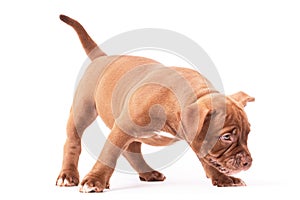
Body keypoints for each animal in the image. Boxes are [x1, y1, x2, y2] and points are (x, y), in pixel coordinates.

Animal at [55, 14, 253, 192]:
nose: (248, 162)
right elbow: (109, 154)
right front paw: (94, 180)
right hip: (82, 111)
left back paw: (148, 173)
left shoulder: (196, 138)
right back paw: (68, 176)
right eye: (226, 137)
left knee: (131, 150)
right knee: (73, 141)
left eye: (248, 134)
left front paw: (223, 179)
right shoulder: (122, 128)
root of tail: (102, 57)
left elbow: (207, 159)